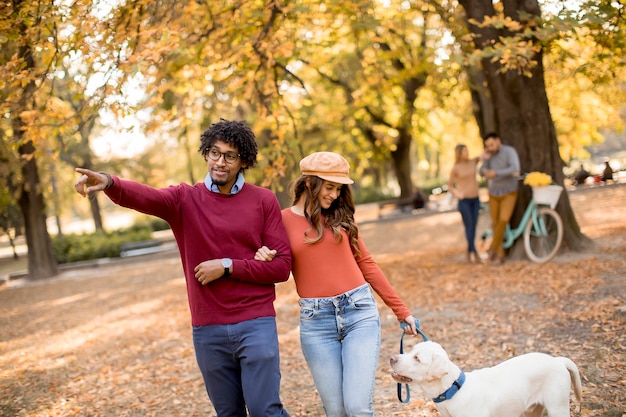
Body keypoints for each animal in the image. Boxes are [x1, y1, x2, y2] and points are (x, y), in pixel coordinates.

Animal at [388, 340, 584, 414]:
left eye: (417, 358)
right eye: (411, 350)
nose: (391, 358)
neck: (453, 391)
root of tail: (557, 360)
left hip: (558, 407)